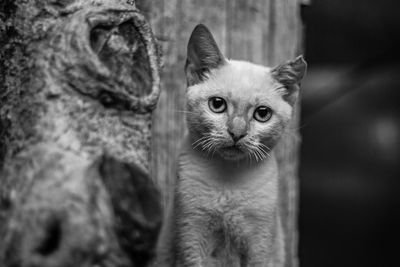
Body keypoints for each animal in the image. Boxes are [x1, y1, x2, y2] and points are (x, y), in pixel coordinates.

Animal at [156, 24, 306, 266]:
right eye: (217, 104)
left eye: (262, 114)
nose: (237, 133)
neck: (228, 184)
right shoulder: (191, 239)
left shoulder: (259, 248)